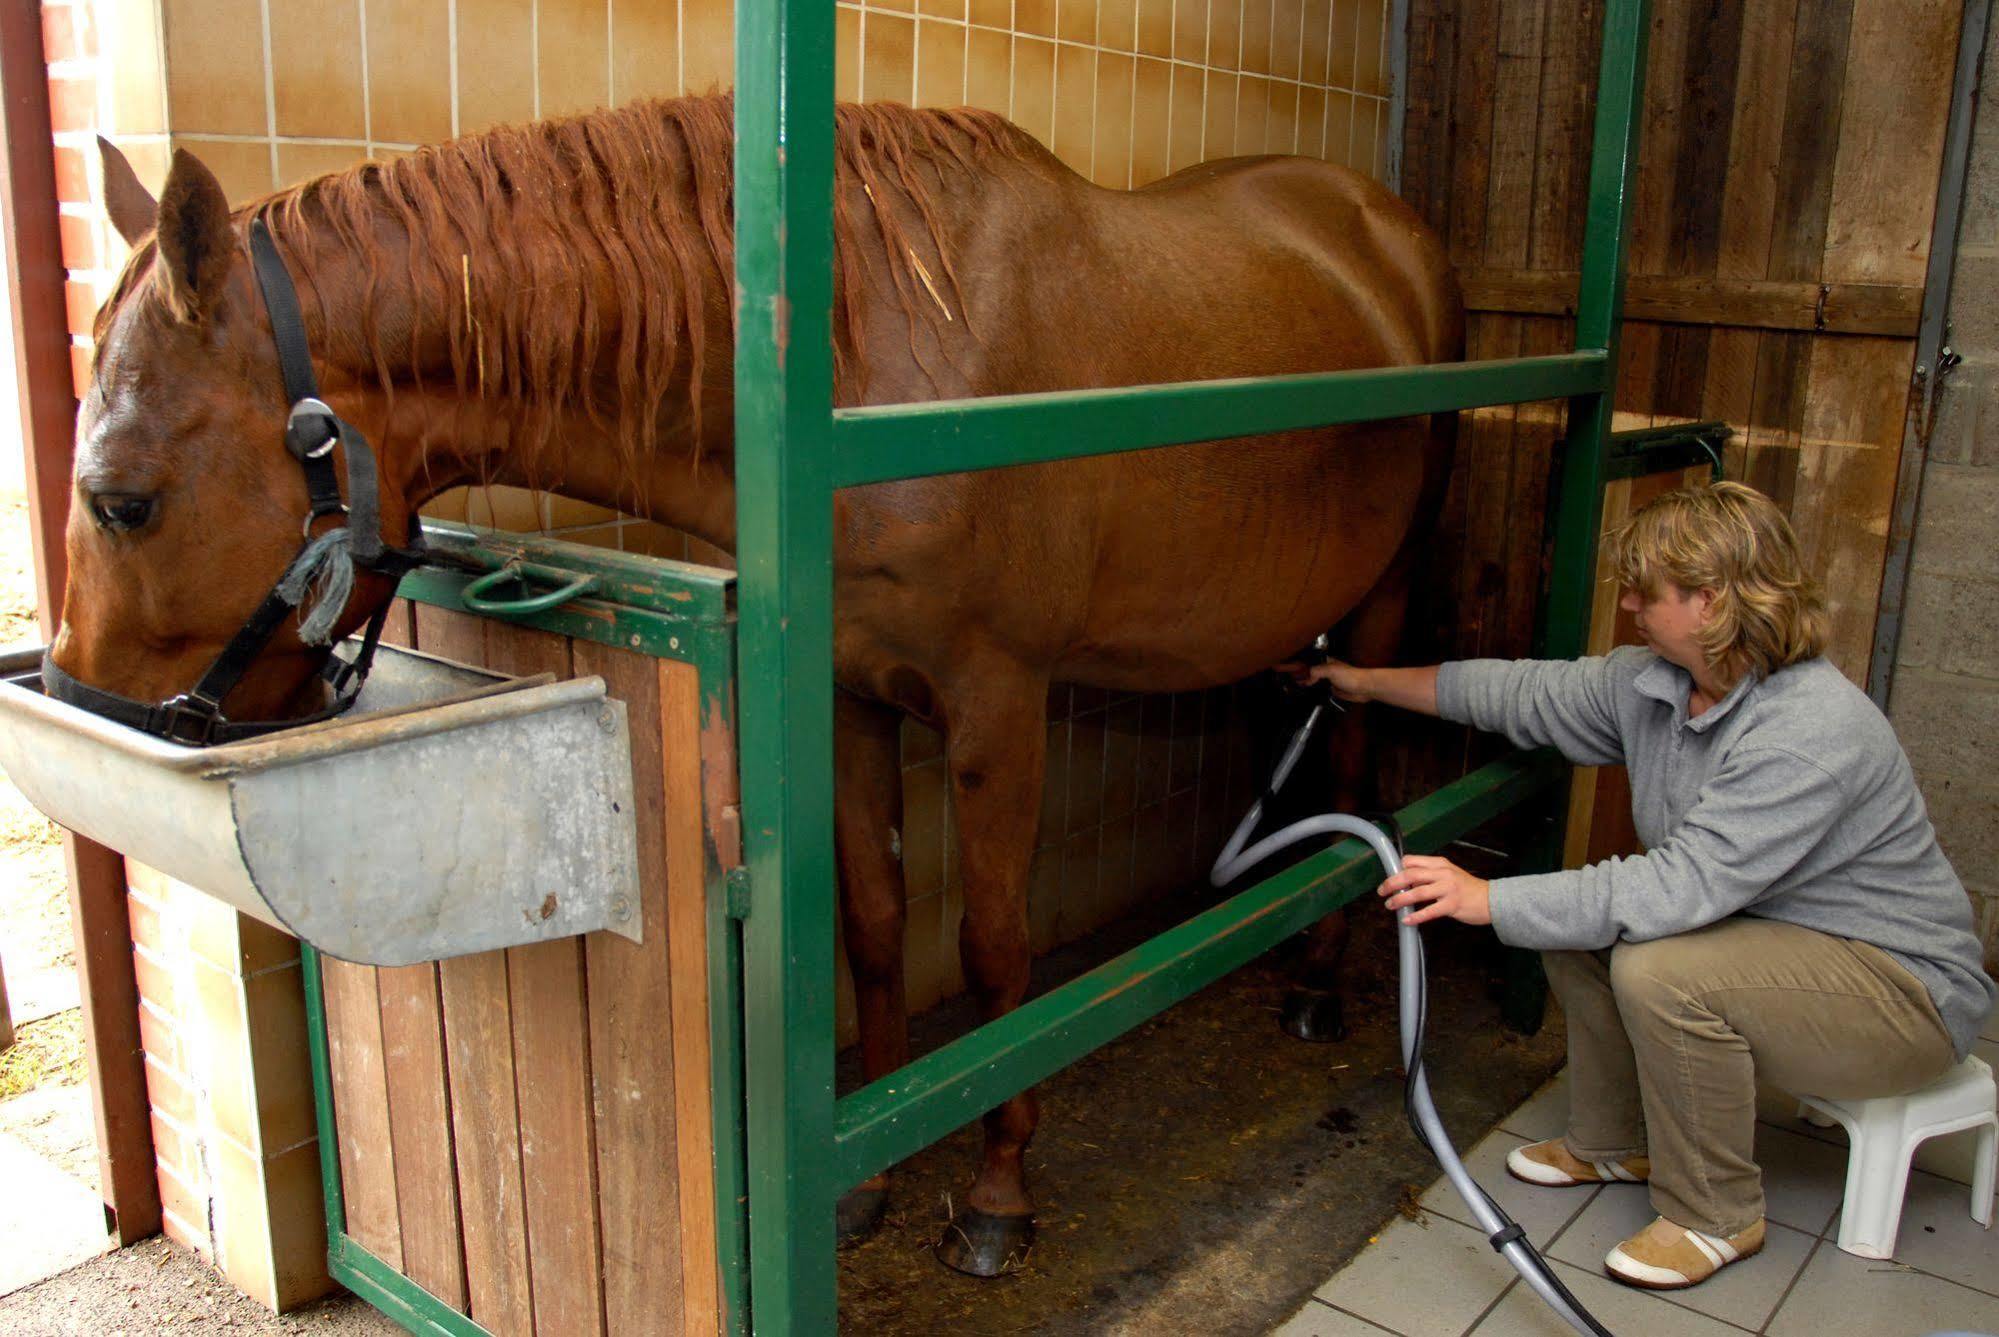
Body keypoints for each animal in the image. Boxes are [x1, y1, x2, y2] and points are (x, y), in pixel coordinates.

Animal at [62, 96, 1463, 1271]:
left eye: (121, 499)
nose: (95, 718)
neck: (870, 365)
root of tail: (1384, 227)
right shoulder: (847, 697)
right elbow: (877, 925)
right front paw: (873, 1164)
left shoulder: (999, 706)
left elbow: (995, 945)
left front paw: (998, 1190)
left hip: (1384, 599)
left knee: (1359, 764)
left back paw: (1318, 987)